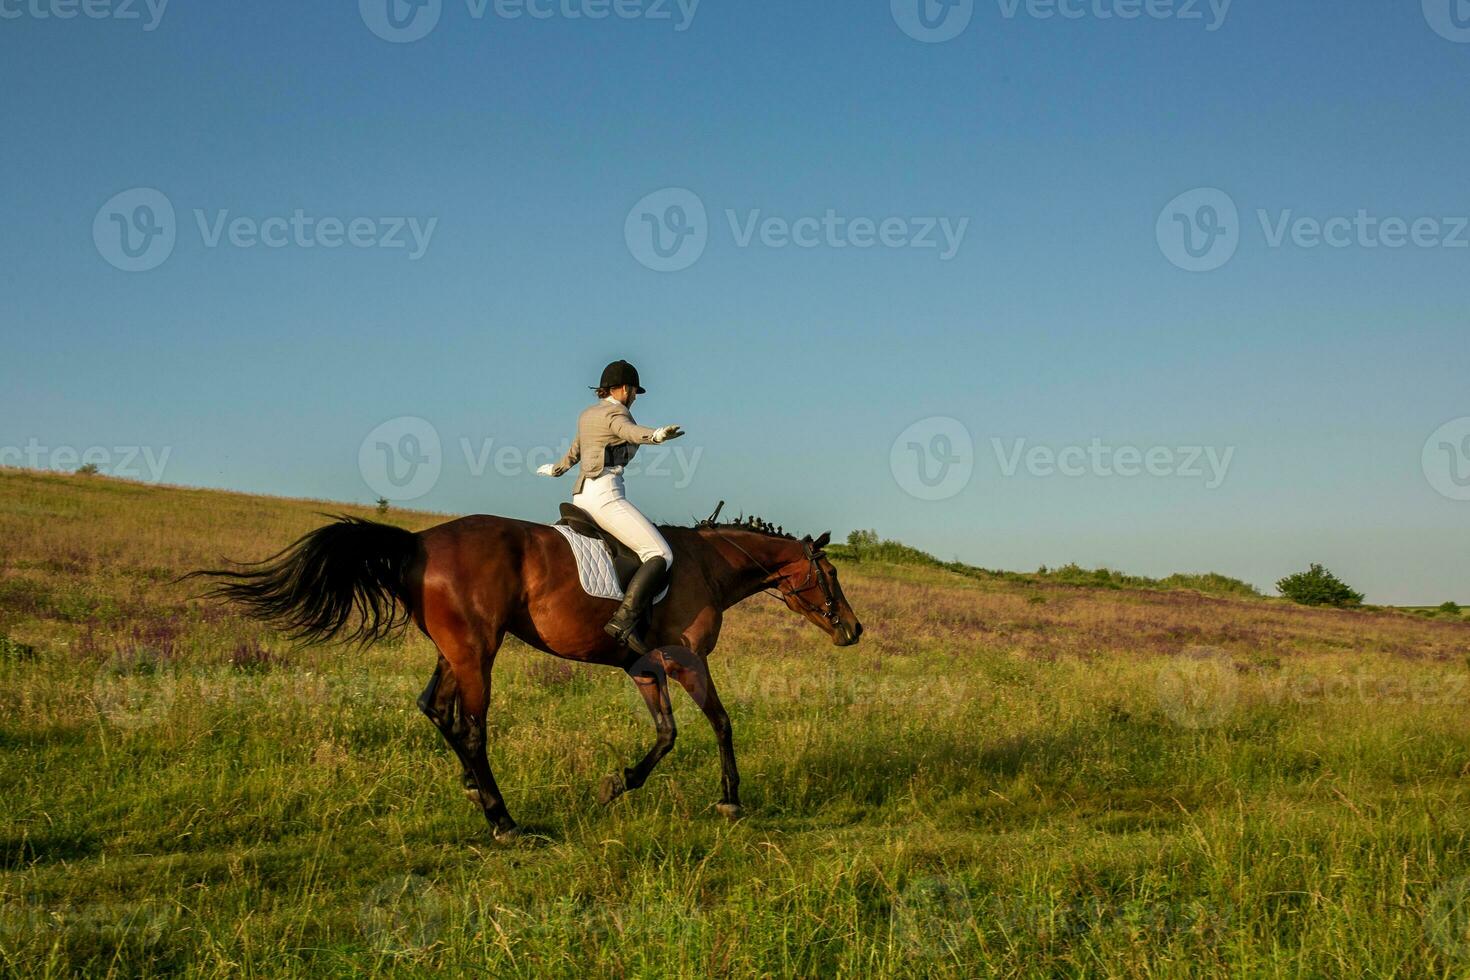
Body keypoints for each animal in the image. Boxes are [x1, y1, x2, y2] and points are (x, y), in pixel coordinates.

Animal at [194, 505, 858, 846]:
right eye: (831, 577)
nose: (852, 630)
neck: (706, 563)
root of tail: (418, 543)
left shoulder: (644, 665)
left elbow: (666, 735)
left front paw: (616, 784)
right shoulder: (685, 660)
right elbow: (720, 722)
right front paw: (729, 799)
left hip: (454, 650)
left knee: (435, 709)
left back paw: (473, 791)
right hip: (477, 651)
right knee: (471, 727)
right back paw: (503, 821)